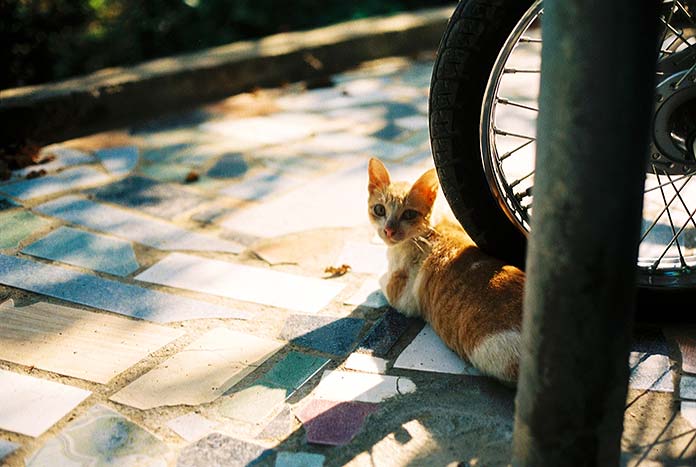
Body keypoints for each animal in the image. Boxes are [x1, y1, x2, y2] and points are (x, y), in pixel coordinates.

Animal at [368, 159, 524, 386]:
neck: (431, 231)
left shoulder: (401, 296)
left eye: (409, 214)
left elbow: (381, 279)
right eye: (379, 210)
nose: (388, 230)